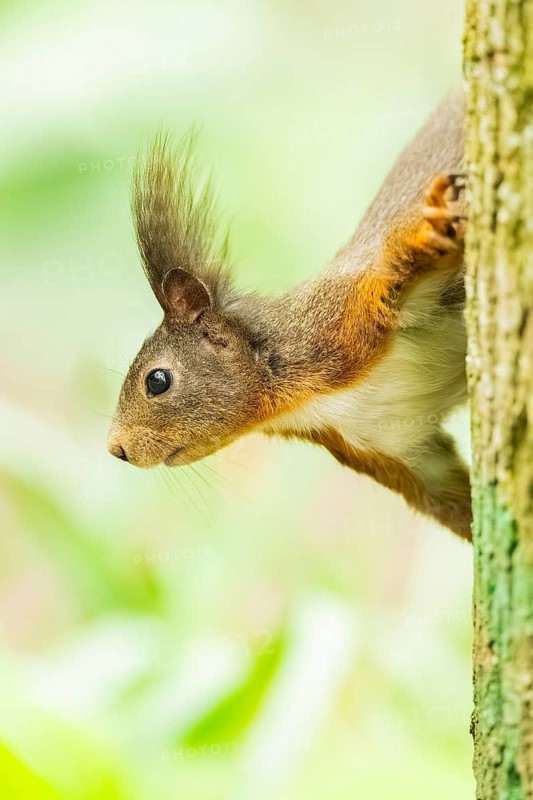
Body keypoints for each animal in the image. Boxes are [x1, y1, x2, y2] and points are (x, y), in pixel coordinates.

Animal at [108, 94, 472, 541]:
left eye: (156, 381)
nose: (116, 449)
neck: (302, 401)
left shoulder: (345, 312)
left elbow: (398, 264)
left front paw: (434, 228)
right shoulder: (392, 447)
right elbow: (451, 499)